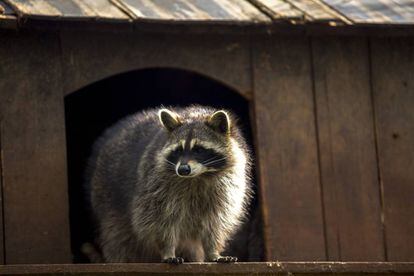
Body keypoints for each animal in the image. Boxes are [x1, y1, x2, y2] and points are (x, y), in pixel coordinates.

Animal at [85, 105, 251, 264]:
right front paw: (168, 250)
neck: (197, 177)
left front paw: (212, 251)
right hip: (107, 199)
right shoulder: (154, 186)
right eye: (178, 150)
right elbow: (160, 221)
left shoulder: (224, 191)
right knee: (117, 236)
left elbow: (213, 223)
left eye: (199, 150)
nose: (183, 169)